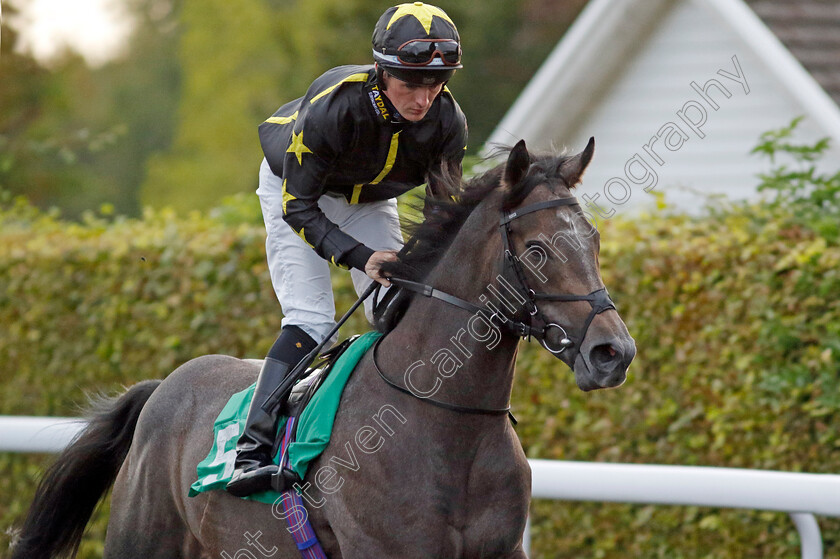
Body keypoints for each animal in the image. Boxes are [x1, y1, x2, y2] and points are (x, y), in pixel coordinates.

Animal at [9, 140, 632, 559]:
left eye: (594, 240)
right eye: (536, 250)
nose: (613, 352)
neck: (447, 421)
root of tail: (163, 386)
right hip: (142, 539)